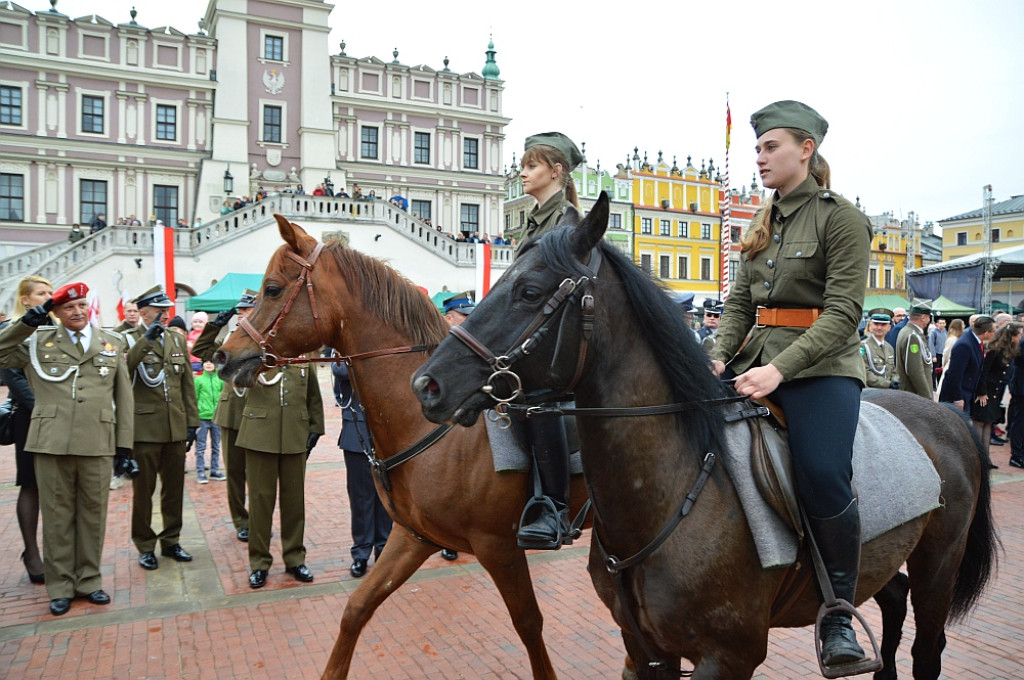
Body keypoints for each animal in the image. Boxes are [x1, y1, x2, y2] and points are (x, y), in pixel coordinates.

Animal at [218, 218, 593, 680]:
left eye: (271, 288)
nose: (225, 356)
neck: (433, 425)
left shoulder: (499, 547)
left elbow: (528, 623)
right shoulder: (412, 537)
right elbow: (356, 608)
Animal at [411, 192, 995, 680]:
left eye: (529, 291)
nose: (427, 384)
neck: (676, 492)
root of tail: (946, 417)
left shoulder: (729, 656)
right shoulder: (644, 651)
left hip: (939, 566)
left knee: (927, 648)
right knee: (892, 600)